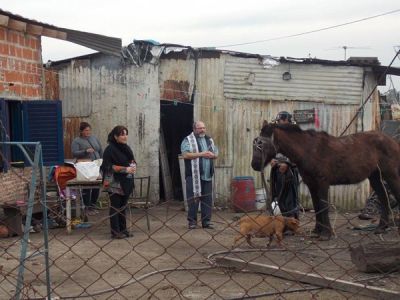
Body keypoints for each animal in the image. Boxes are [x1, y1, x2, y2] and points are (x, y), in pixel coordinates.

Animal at [252, 120, 400, 240]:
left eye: (261, 144)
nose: (254, 165)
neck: (308, 150)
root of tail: (393, 141)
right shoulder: (312, 184)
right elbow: (317, 206)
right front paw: (317, 230)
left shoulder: (322, 183)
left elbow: (323, 206)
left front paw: (326, 234)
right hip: (375, 176)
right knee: (384, 197)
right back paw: (381, 228)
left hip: (391, 175)